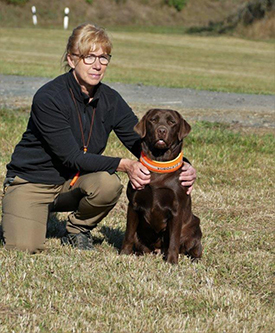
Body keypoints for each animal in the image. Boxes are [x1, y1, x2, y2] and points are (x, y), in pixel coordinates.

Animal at [121, 109, 203, 264]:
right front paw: (124, 254)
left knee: (195, 247)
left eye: (172, 122)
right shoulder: (133, 205)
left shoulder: (176, 210)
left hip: (195, 225)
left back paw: (195, 259)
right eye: (153, 120)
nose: (161, 130)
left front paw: (171, 262)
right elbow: (128, 234)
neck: (159, 164)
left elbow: (173, 240)